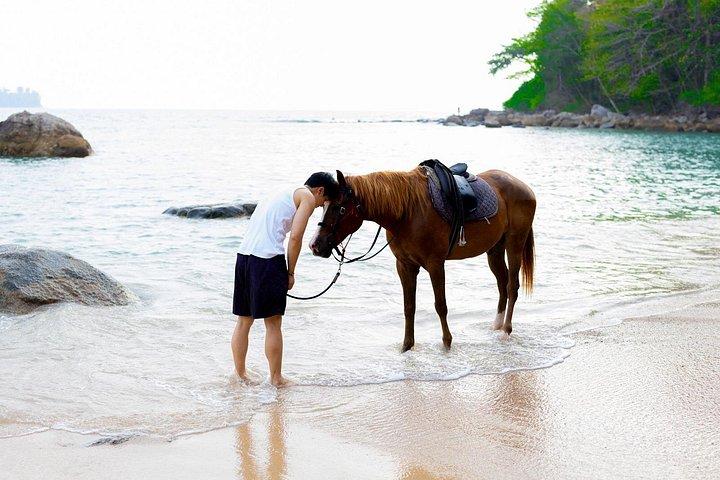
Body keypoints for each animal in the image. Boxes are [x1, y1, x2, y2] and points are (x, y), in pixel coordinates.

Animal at [310, 167, 536, 352]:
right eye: (323, 205)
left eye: (339, 208)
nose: (315, 245)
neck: (407, 211)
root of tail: (525, 188)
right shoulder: (405, 266)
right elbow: (409, 307)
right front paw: (407, 346)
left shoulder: (435, 264)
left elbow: (440, 305)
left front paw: (447, 343)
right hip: (494, 250)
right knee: (502, 283)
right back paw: (497, 325)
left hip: (514, 244)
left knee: (511, 286)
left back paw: (506, 330)